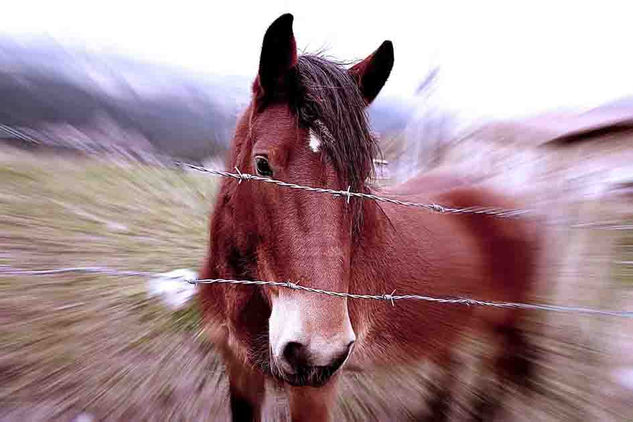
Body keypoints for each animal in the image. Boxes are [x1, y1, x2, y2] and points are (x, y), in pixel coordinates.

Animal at [199, 13, 540, 422]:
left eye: (359, 177)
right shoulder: (238, 368)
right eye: (262, 164)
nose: (316, 351)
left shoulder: (315, 391)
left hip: (503, 326)